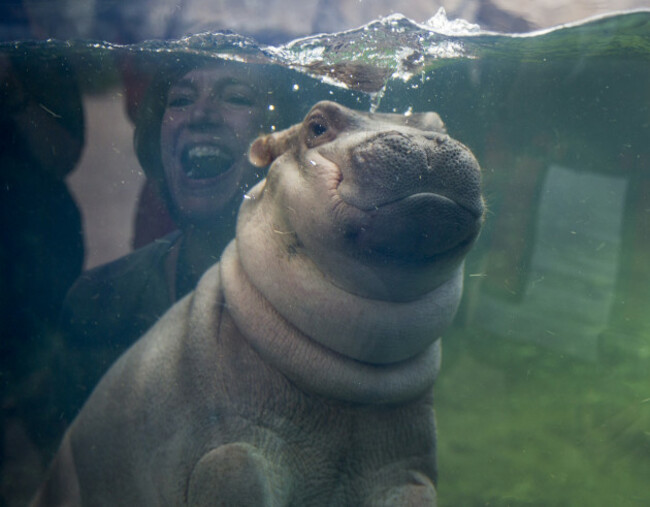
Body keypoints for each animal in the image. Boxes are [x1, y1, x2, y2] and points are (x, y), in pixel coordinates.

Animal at [34, 100, 480, 507]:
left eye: (439, 123)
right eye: (317, 125)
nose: (423, 143)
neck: (348, 386)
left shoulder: (404, 467)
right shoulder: (228, 452)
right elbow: (235, 467)